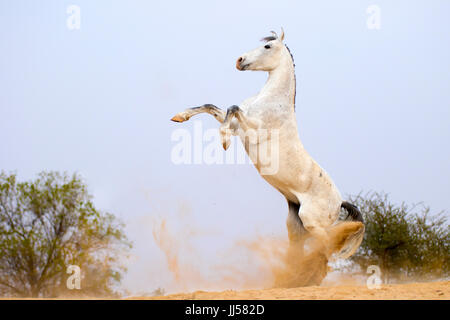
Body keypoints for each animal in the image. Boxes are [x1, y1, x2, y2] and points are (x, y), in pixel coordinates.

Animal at [172, 29, 366, 284]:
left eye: (268, 46)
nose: (239, 60)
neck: (271, 101)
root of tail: (339, 201)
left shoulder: (251, 131)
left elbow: (232, 108)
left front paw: (224, 141)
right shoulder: (238, 125)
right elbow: (212, 106)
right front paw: (180, 116)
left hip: (312, 221)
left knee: (326, 250)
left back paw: (305, 279)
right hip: (296, 225)